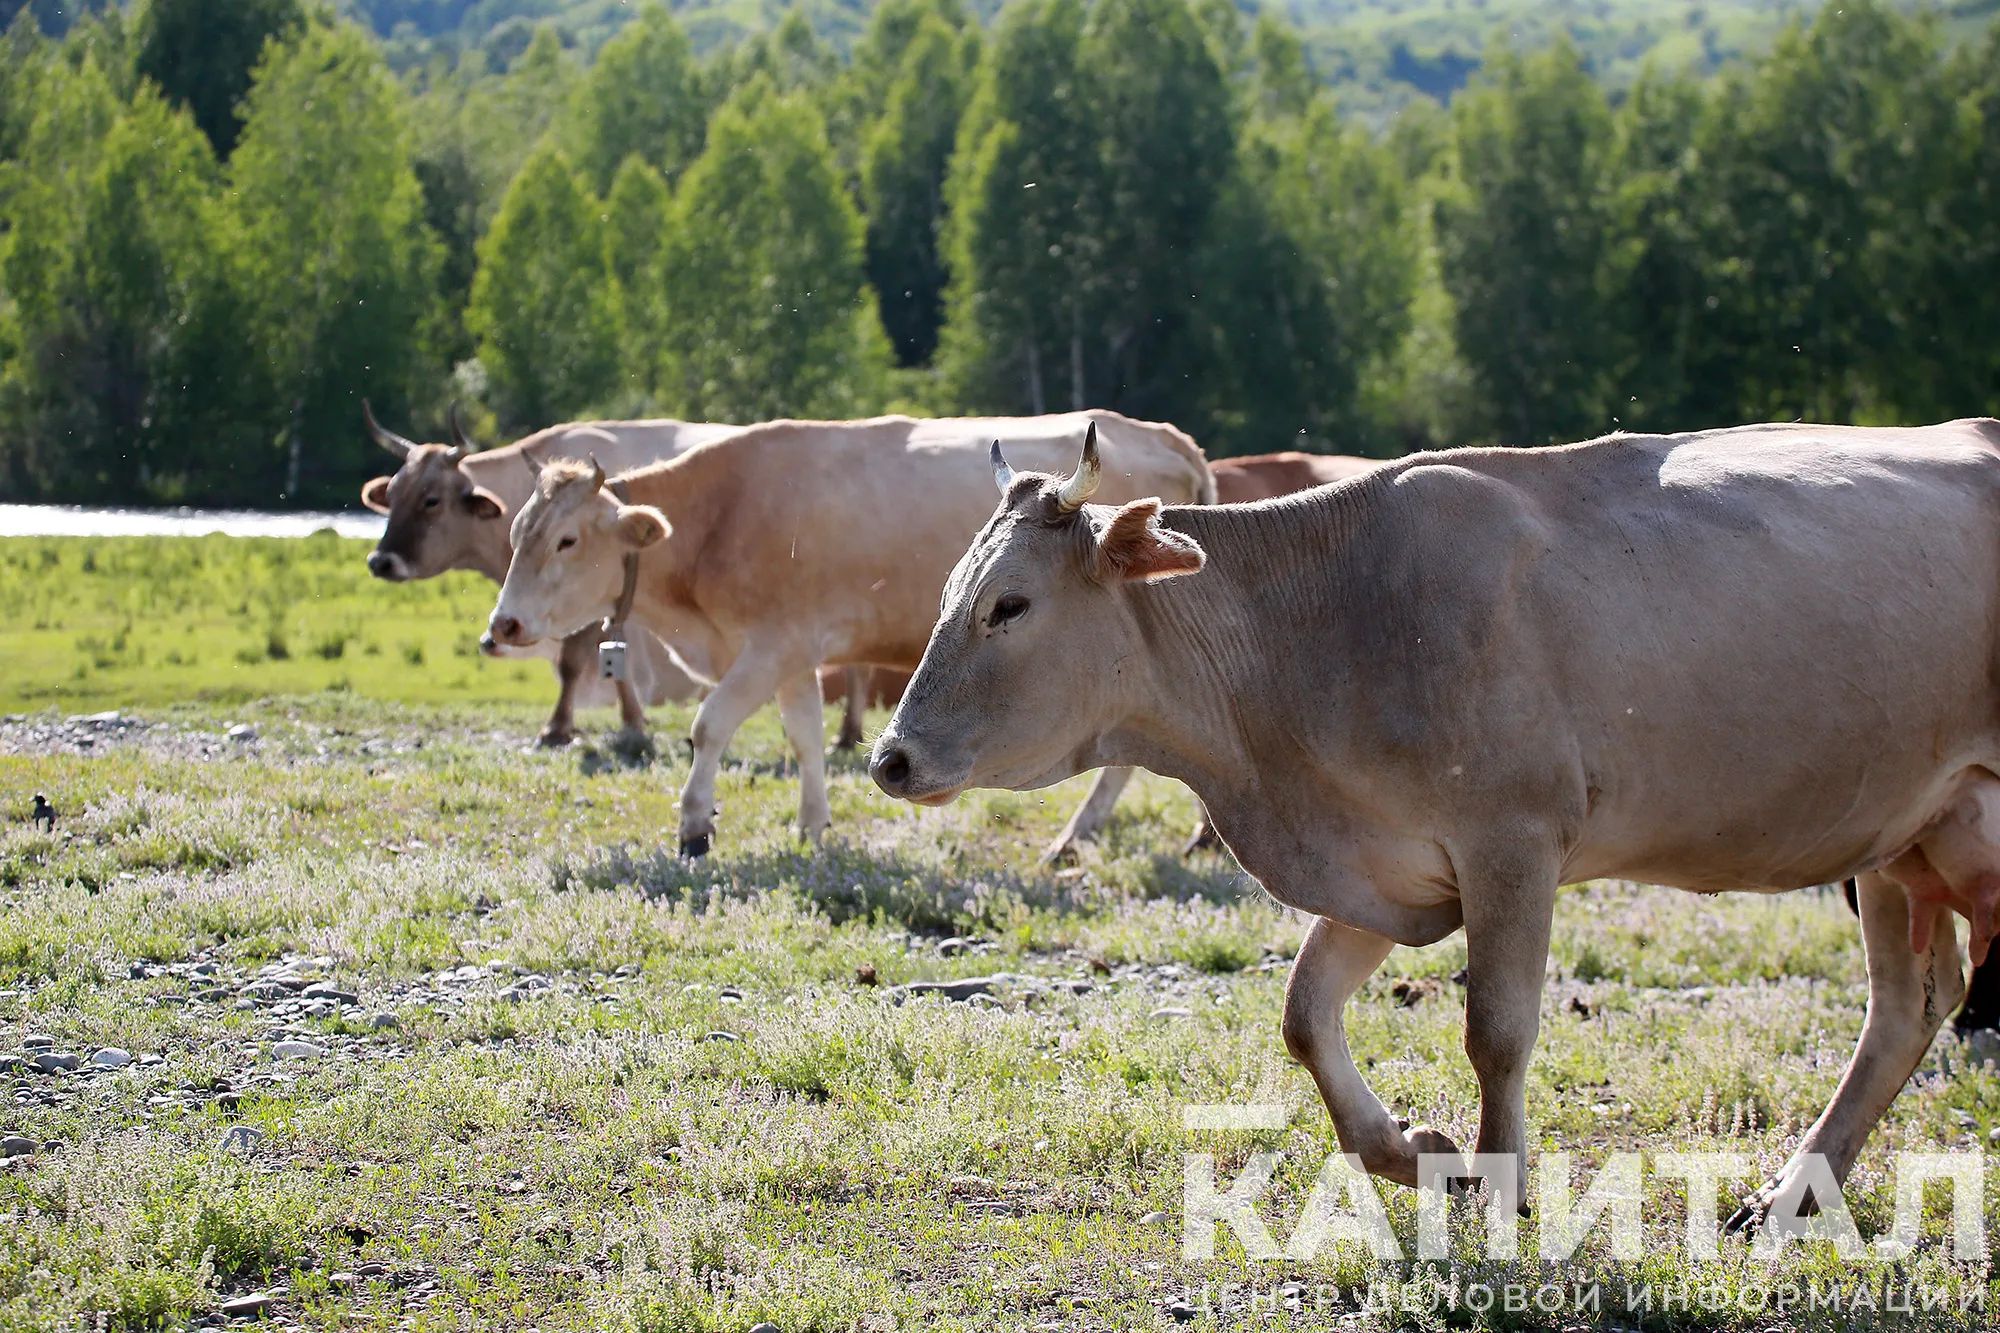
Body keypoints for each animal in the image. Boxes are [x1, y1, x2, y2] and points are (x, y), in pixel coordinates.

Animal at [484, 410, 1208, 856]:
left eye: (567, 539)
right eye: (517, 531)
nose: (503, 625)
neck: (723, 514)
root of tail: (1164, 434)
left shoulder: (769, 645)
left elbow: (709, 724)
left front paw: (693, 824)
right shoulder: (794, 653)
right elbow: (804, 734)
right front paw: (812, 824)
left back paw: (1078, 835)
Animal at [872, 420, 2000, 1232]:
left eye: (1009, 605)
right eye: (950, 592)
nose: (890, 757)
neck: (1323, 620)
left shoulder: (1513, 842)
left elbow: (1494, 1029)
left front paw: (1501, 1186)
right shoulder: (1389, 869)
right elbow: (1304, 1012)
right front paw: (1421, 1155)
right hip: (1902, 838)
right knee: (1905, 1009)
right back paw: (1788, 1196)